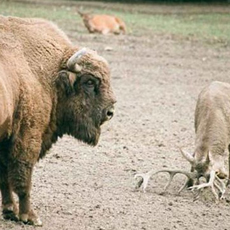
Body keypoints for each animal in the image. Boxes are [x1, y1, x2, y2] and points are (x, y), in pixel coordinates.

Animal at [0, 15, 116, 226]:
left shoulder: (5, 139)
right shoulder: (27, 137)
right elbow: (23, 177)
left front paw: (9, 211)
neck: (51, 74)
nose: (109, 112)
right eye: (89, 82)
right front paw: (30, 217)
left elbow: (4, 178)